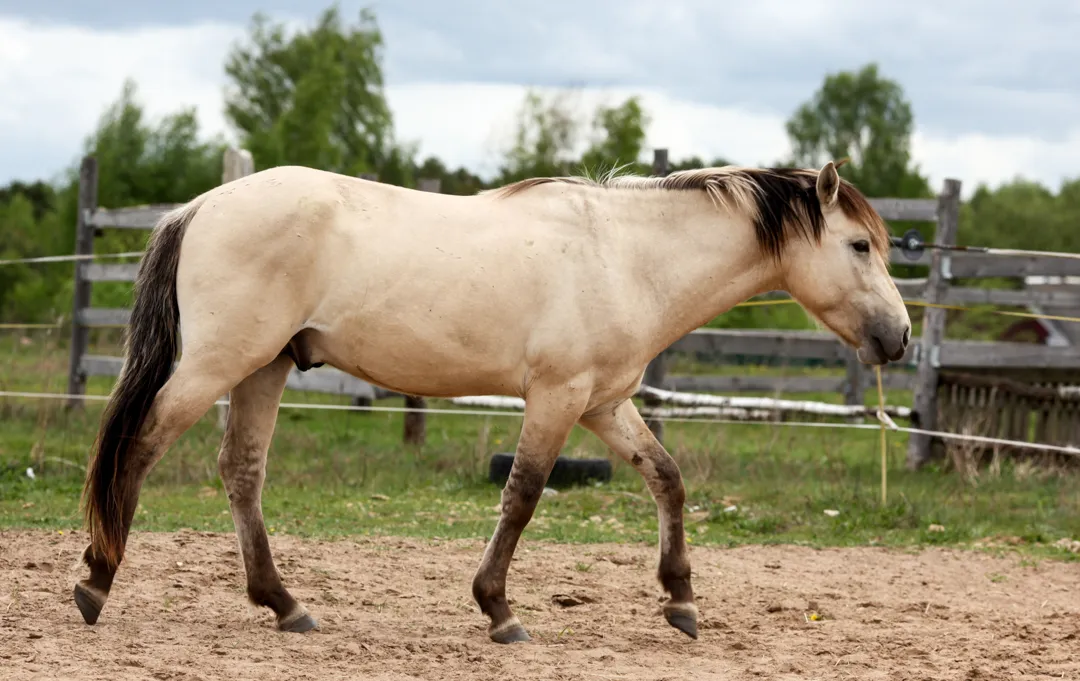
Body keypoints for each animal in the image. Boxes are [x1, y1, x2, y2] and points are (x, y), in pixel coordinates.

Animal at [72, 159, 910, 644]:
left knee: (241, 470)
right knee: (140, 447)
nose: (899, 336)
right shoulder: (558, 397)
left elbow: (667, 478)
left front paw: (681, 601)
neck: (626, 255)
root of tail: (198, 206)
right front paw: (499, 609)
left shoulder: (604, 402)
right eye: (859, 246)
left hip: (265, 367)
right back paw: (95, 582)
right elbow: (524, 495)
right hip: (219, 362)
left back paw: (284, 604)